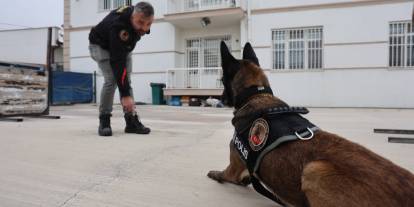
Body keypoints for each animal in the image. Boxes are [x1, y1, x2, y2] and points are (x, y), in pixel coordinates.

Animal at [207, 41, 414, 206]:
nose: (219, 99)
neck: (256, 95)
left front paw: (215, 173)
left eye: (222, 80)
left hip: (315, 170)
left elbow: (225, 174)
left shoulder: (234, 169)